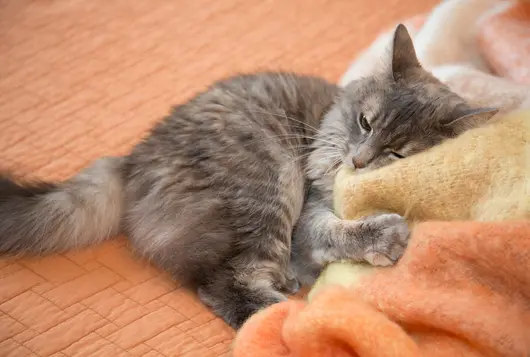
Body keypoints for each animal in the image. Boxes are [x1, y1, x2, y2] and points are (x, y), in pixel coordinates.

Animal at [0, 25, 496, 328]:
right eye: (365, 123)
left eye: (396, 153)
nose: (357, 161)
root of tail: (134, 159)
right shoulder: (308, 213)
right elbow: (337, 231)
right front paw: (385, 237)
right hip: (265, 188)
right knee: (229, 290)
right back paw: (300, 318)